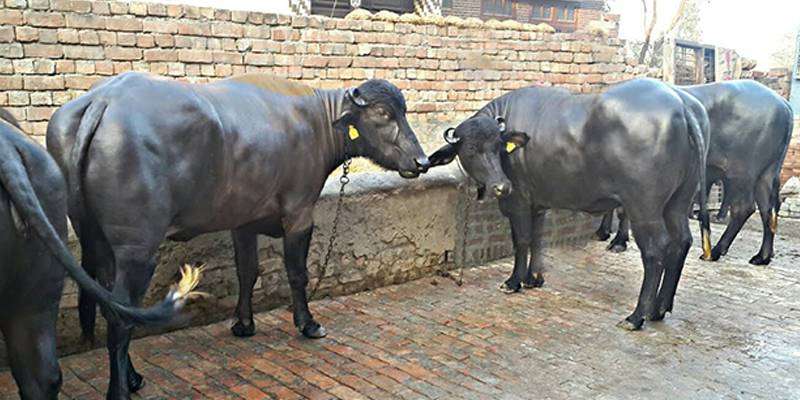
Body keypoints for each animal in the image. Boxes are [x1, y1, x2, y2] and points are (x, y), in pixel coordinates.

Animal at [46, 72, 430, 399]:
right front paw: (308, 324)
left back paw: (133, 377)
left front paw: (244, 323)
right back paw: (121, 389)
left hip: (99, 243)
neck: (318, 122)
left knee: (107, 303)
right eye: (383, 113)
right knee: (121, 317)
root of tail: (103, 100)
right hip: (136, 250)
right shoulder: (299, 214)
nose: (422, 161)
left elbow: (247, 271)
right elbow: (297, 273)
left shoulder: (244, 221)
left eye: (403, 112)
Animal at [427, 78, 711, 331]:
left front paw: (514, 281)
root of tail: (682, 104)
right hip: (678, 203)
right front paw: (534, 278)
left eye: (497, 146)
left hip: (645, 208)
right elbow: (537, 238)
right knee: (682, 241)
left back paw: (637, 316)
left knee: (655, 250)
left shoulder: (518, 201)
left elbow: (522, 240)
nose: (501, 186)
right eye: (471, 149)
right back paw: (659, 309)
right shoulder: (538, 203)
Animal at [595, 80, 794, 265]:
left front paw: (618, 241)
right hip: (766, 173)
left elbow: (622, 210)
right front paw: (605, 232)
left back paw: (715, 251)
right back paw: (763, 256)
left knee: (743, 208)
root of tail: (783, 104)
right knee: (769, 210)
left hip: (742, 174)